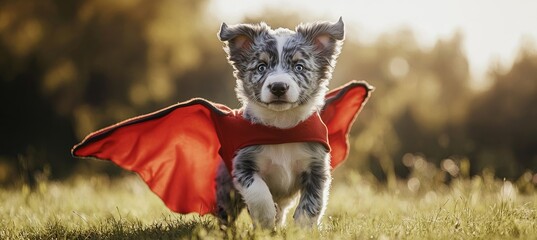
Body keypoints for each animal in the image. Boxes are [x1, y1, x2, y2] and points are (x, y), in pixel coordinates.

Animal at [214, 17, 344, 229]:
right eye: (261, 67)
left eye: (299, 66)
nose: (278, 87)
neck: (281, 127)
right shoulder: (242, 164)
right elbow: (259, 192)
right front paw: (265, 220)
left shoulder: (317, 168)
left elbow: (312, 203)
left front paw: (303, 229)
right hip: (226, 190)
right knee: (226, 213)